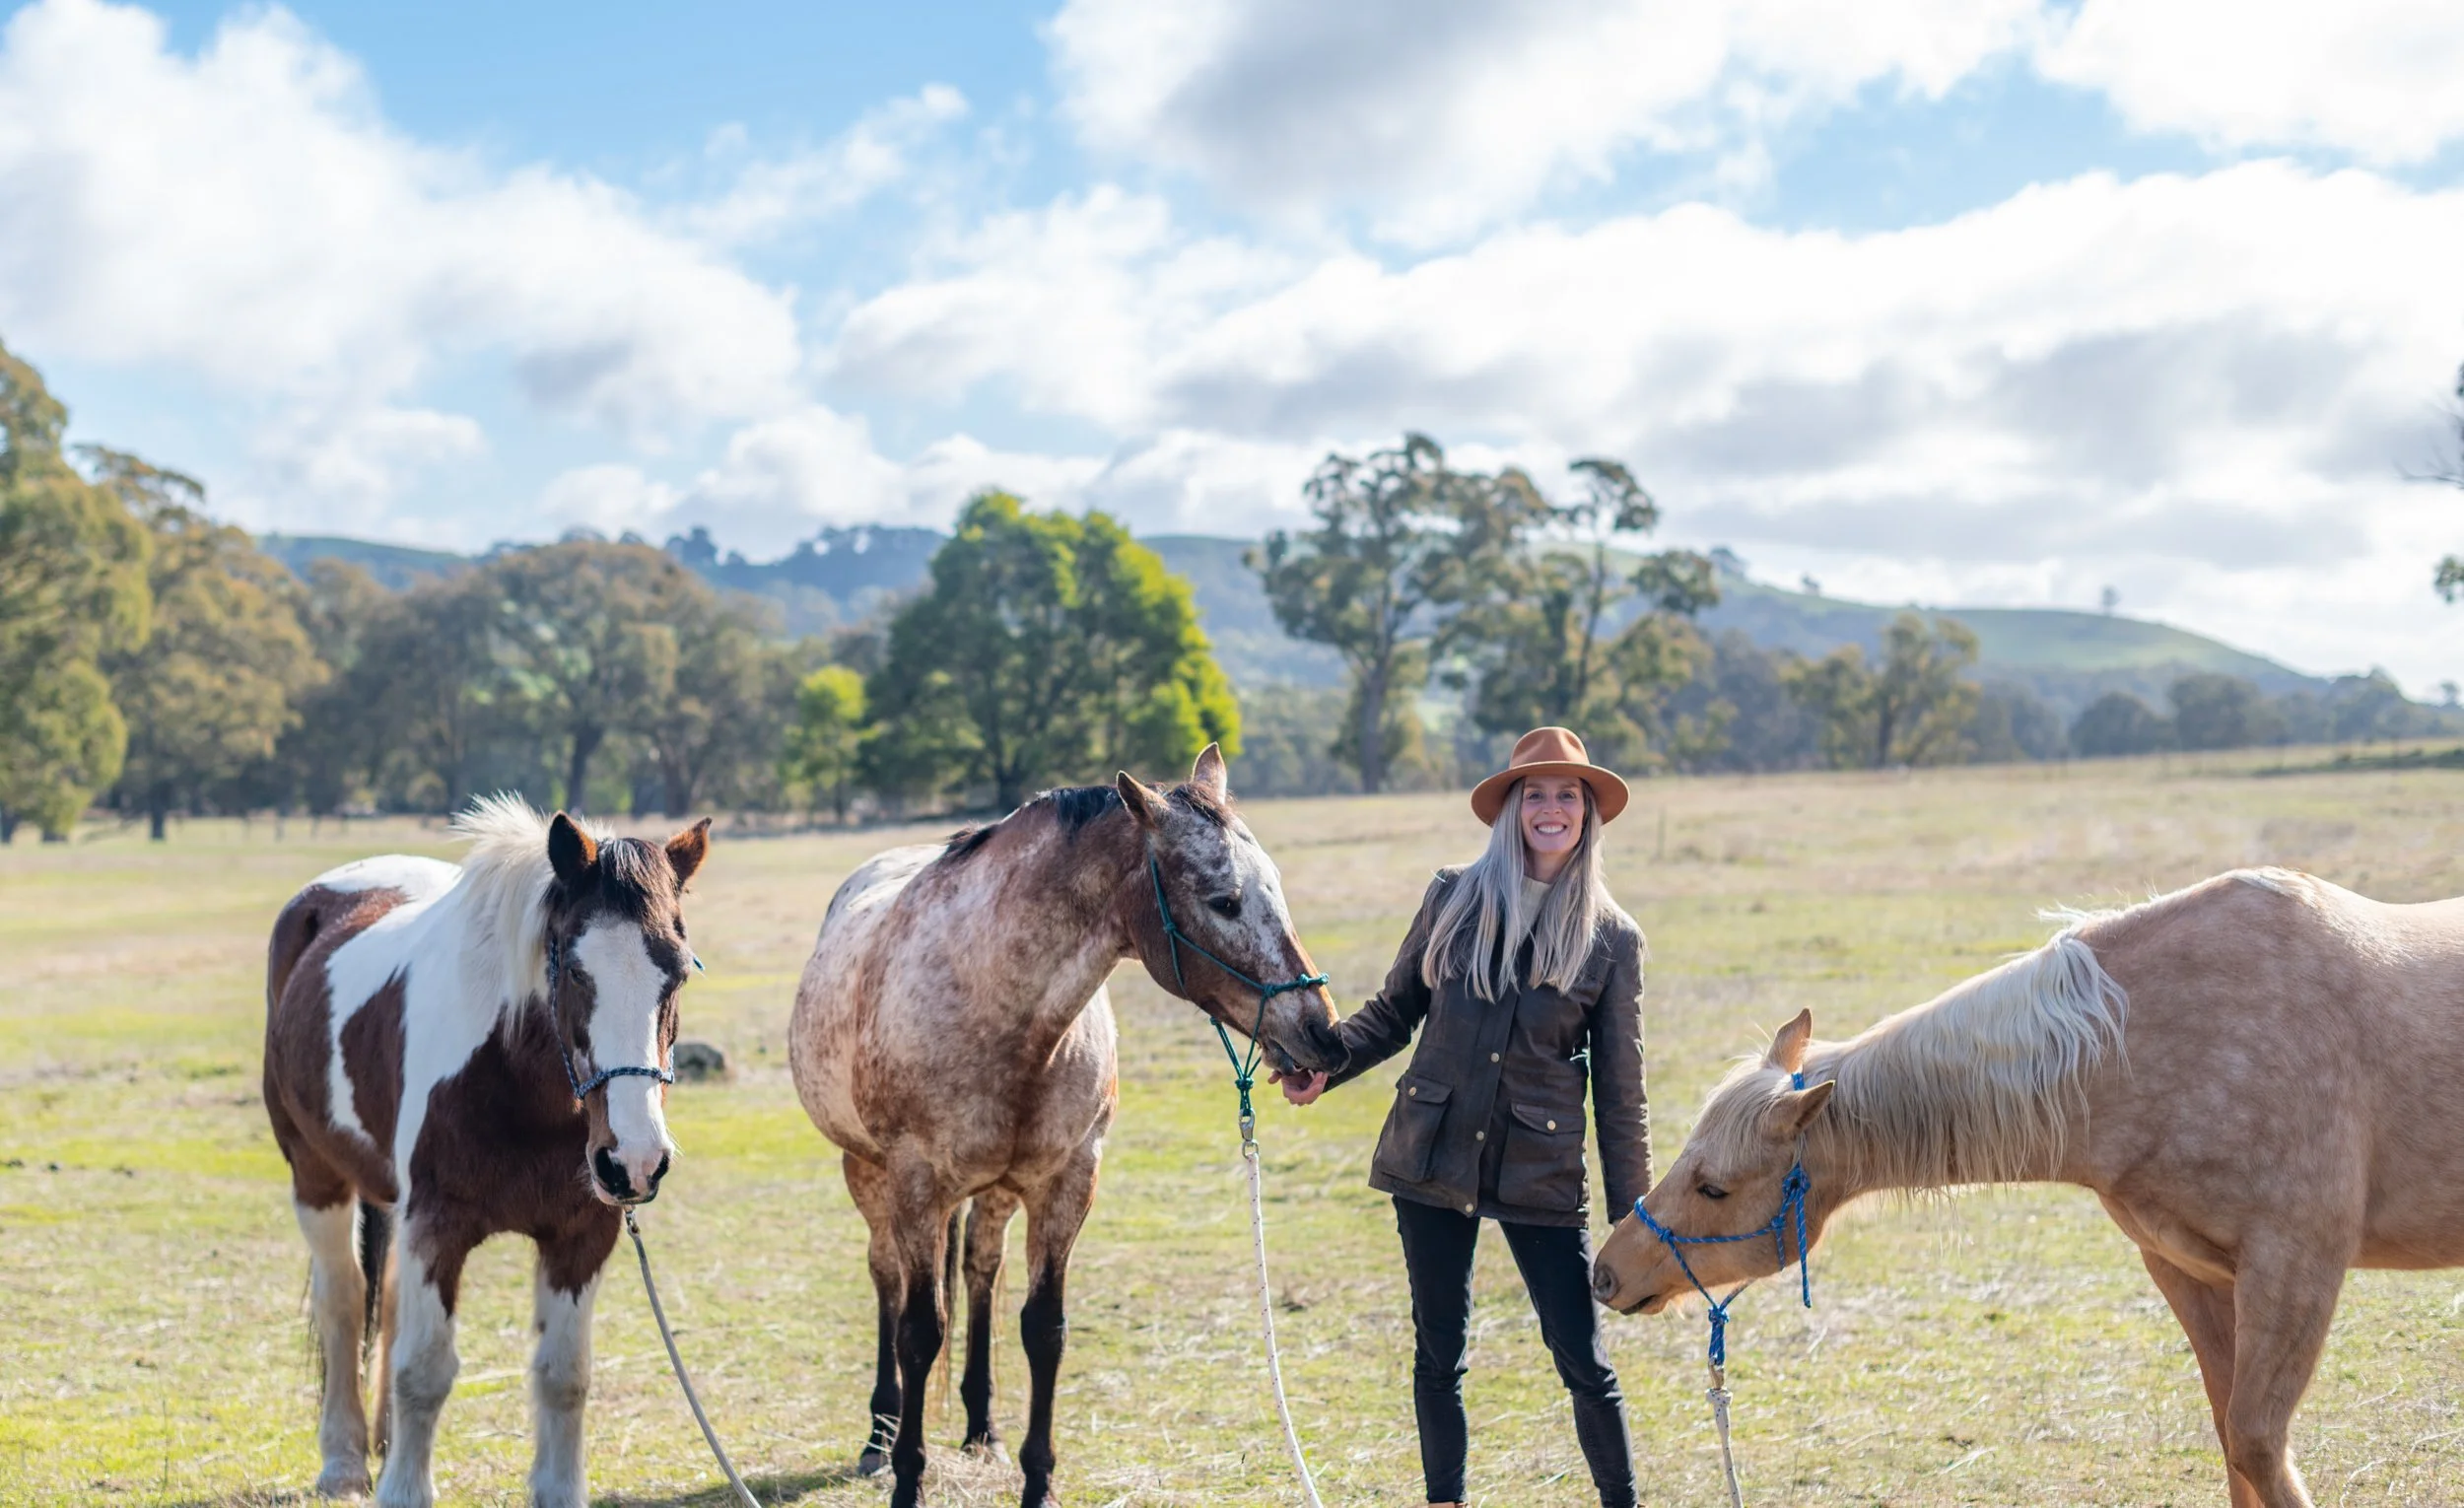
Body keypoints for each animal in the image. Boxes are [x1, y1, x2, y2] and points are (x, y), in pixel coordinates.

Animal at [260, 796, 711, 1507]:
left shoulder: (580, 1237)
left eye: (677, 970)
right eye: (573, 968)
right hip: (316, 1176)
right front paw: (403, 1491)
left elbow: (563, 1374)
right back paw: (345, 1461)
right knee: (343, 1299)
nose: (634, 1161)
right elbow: (424, 1368)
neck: (516, 1076)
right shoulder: (438, 1226)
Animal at [788, 745, 1346, 1508]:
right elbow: (919, 1331)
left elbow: (1042, 1329)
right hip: (868, 1175)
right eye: (1225, 901)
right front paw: (908, 1477)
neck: (994, 1002)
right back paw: (879, 1435)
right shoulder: (915, 1186)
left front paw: (1037, 1480)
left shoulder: (1067, 1184)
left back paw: (982, 1428)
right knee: (888, 1281)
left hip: (994, 1192)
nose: (1324, 1037)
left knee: (981, 1272)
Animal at [1588, 866, 2464, 1508]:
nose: (1605, 1273)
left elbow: (2255, 1440)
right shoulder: (2189, 1269)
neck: (2143, 1041)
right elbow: (2230, 1437)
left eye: (1713, 1187)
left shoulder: (2295, 1266)